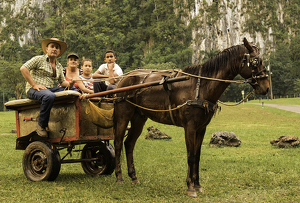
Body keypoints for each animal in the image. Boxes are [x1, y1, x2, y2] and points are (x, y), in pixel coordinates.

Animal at [112, 37, 270, 197]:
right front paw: (190, 187)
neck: (201, 86)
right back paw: (119, 177)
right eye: (256, 61)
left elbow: (197, 156)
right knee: (118, 143)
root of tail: (122, 79)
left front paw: (198, 184)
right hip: (123, 115)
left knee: (129, 143)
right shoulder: (190, 127)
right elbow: (191, 156)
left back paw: (133, 176)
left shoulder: (201, 128)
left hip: (139, 117)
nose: (266, 88)